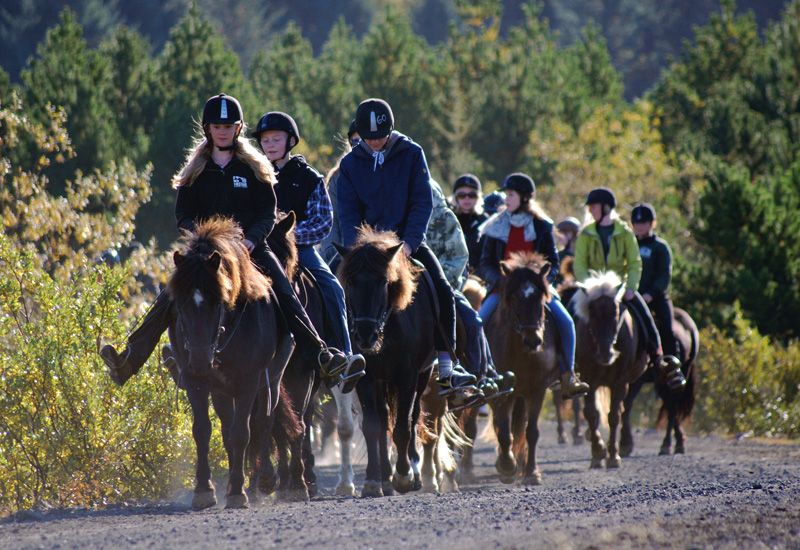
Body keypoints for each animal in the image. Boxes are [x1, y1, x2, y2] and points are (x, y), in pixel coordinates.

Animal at [166, 218, 294, 512]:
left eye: (219, 301)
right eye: (181, 304)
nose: (200, 360)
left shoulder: (249, 382)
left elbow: (242, 433)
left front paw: (237, 492)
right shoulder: (197, 382)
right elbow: (203, 430)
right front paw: (204, 490)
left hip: (270, 380)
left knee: (264, 421)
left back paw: (266, 479)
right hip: (222, 391)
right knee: (229, 427)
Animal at [336, 226, 438, 498]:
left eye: (383, 281)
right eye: (350, 282)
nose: (364, 335)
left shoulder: (407, 376)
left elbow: (403, 427)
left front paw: (403, 476)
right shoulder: (366, 377)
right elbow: (373, 426)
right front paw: (373, 480)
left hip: (423, 375)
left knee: (412, 417)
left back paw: (412, 472)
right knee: (383, 419)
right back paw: (385, 477)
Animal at [484, 252, 560, 486]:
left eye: (540, 298)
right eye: (515, 297)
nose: (533, 340)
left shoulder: (537, 389)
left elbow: (531, 431)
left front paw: (532, 472)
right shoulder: (501, 393)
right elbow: (503, 431)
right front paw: (508, 467)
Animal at [568, 272, 648, 470]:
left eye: (616, 313)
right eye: (592, 314)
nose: (606, 354)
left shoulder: (620, 382)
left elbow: (614, 416)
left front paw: (613, 456)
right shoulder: (589, 379)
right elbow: (591, 413)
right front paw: (598, 453)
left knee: (624, 409)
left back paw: (625, 444)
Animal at [620, 306, 700, 458]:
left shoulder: (635, 379)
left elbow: (625, 405)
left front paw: (626, 444)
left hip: (678, 373)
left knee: (672, 405)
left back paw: (667, 445)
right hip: (662, 381)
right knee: (670, 404)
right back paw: (679, 442)